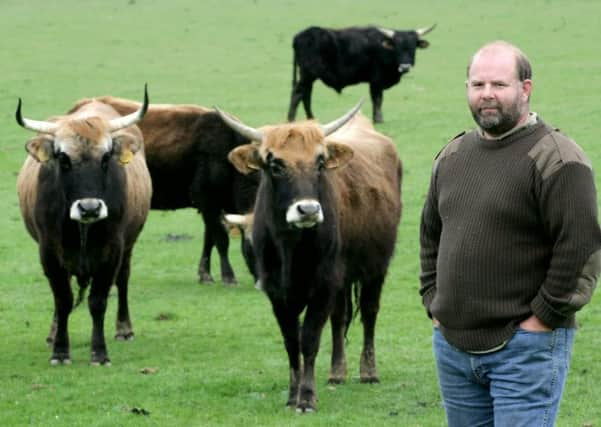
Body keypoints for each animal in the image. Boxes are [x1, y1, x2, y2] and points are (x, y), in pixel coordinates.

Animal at [15, 86, 152, 364]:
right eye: (63, 158)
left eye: (106, 157)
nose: (90, 208)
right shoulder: (48, 252)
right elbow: (62, 300)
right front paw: (60, 350)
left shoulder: (113, 251)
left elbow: (98, 301)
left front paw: (99, 353)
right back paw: (53, 332)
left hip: (129, 245)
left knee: (123, 280)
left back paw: (124, 329)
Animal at [68, 95, 260, 286]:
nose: (262, 281)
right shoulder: (208, 201)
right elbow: (220, 239)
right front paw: (228, 276)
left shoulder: (214, 207)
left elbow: (209, 239)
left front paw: (205, 274)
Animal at [217, 102, 404, 412]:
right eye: (275, 164)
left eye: (320, 162)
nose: (308, 210)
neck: (292, 249)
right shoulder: (277, 292)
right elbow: (292, 341)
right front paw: (292, 395)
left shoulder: (323, 285)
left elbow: (309, 339)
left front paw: (306, 398)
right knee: (340, 317)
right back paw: (337, 372)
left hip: (376, 267)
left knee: (369, 313)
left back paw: (368, 371)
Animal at [288, 24, 434, 123]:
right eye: (397, 46)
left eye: (413, 47)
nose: (405, 67)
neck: (384, 48)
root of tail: (300, 36)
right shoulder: (376, 81)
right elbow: (377, 99)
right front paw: (378, 119)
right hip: (308, 75)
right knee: (298, 93)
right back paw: (292, 119)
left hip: (308, 76)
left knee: (305, 95)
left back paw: (310, 118)